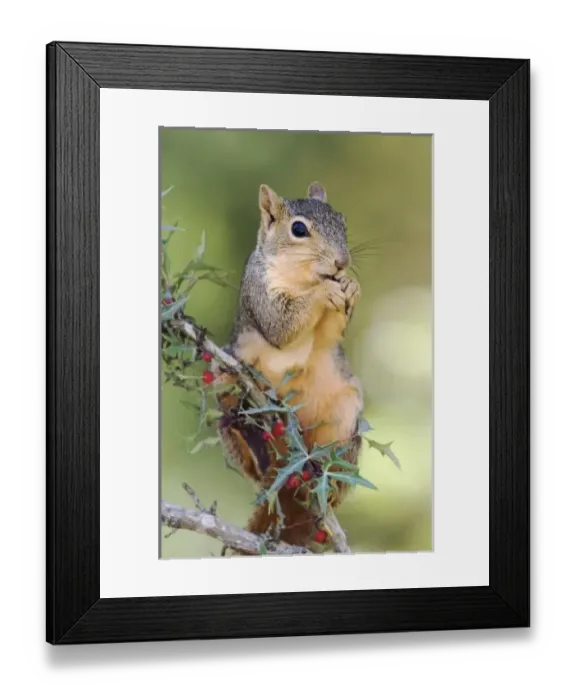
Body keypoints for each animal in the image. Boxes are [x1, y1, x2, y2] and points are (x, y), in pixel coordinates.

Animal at [214, 181, 363, 549]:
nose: (342, 263)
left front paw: (350, 286)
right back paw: (251, 438)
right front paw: (325, 291)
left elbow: (329, 333)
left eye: (342, 220)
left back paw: (326, 480)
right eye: (298, 229)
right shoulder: (260, 292)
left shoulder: (328, 336)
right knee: (250, 460)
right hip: (225, 378)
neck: (304, 278)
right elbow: (282, 325)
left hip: (345, 416)